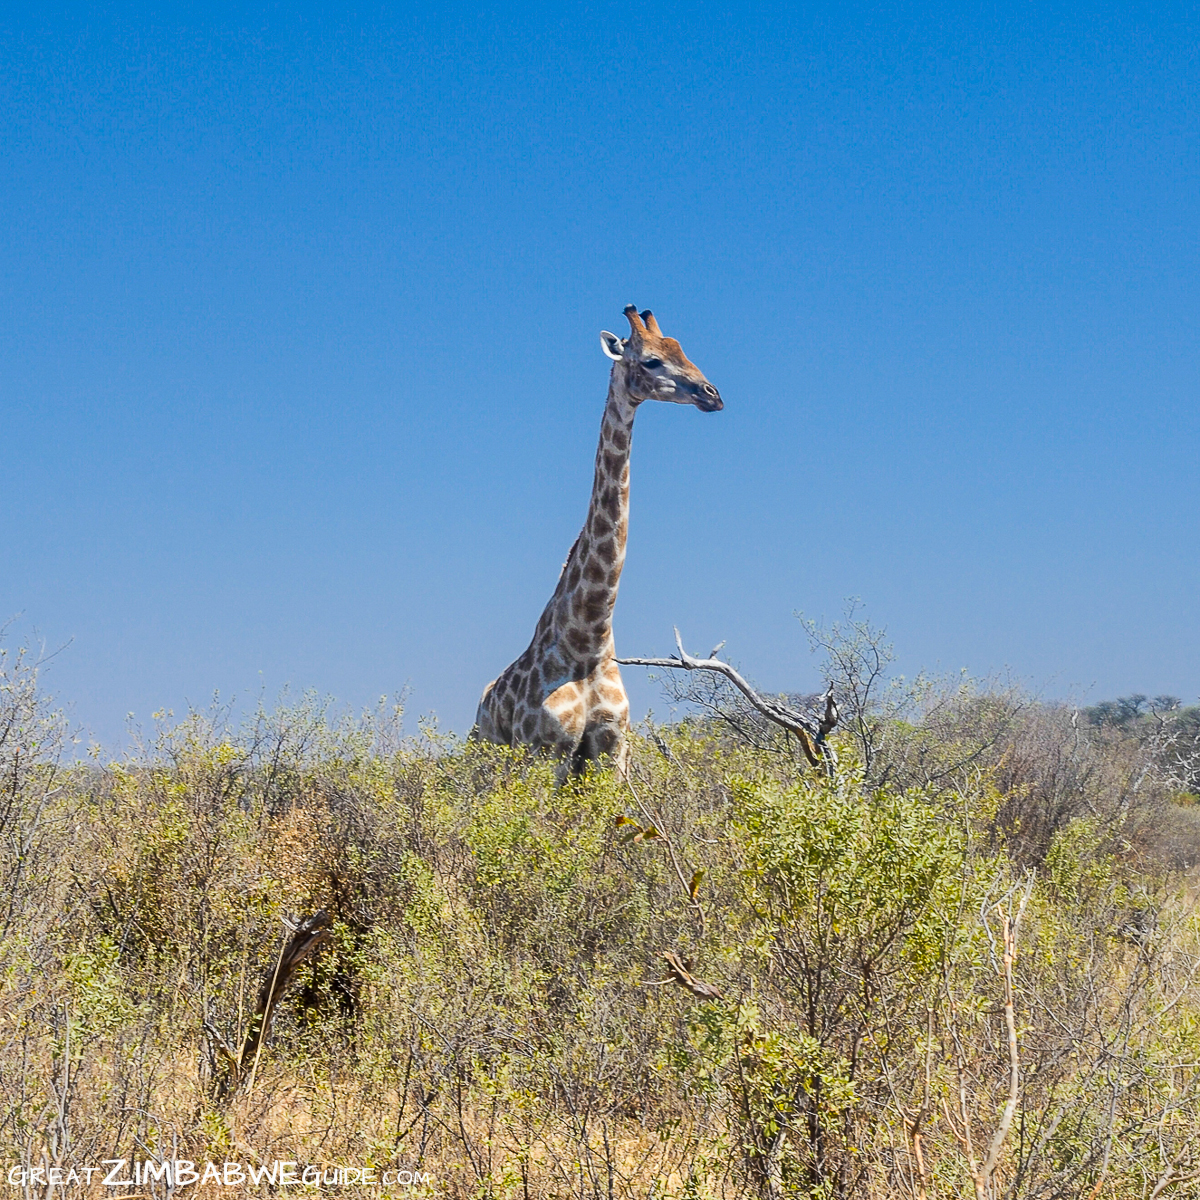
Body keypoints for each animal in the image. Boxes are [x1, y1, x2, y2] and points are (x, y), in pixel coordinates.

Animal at [473, 304, 723, 777]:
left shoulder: (612, 747)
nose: (712, 394)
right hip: (488, 762)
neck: (588, 638)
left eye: (682, 350)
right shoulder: (544, 750)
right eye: (651, 361)